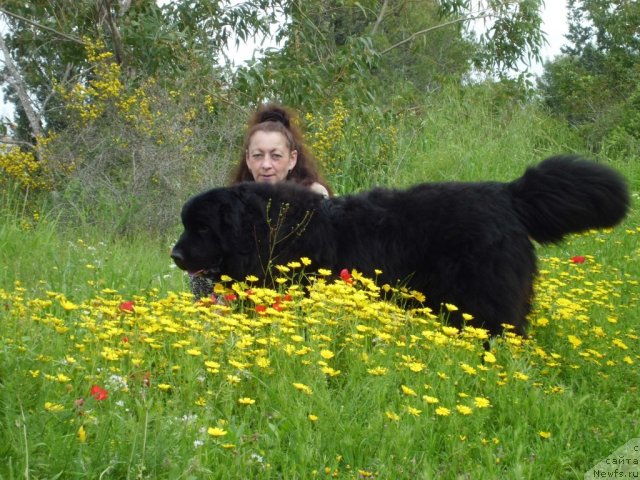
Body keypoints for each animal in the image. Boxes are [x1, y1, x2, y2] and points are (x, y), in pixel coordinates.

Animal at [171, 156, 632, 336]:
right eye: (187, 225)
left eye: (201, 227)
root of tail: (508, 194)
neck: (270, 229)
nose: (174, 255)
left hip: (483, 298)